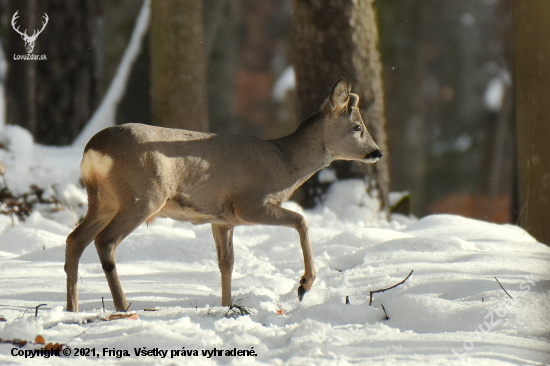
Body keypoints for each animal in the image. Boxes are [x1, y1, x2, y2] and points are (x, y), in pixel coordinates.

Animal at [64, 78, 384, 312]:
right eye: (357, 127)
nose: (377, 152)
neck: (284, 163)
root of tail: (93, 149)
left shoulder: (221, 218)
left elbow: (226, 263)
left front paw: (226, 306)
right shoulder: (250, 204)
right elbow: (301, 220)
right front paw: (304, 284)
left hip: (104, 200)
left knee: (74, 239)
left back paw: (72, 309)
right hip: (142, 197)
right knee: (104, 241)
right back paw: (123, 307)